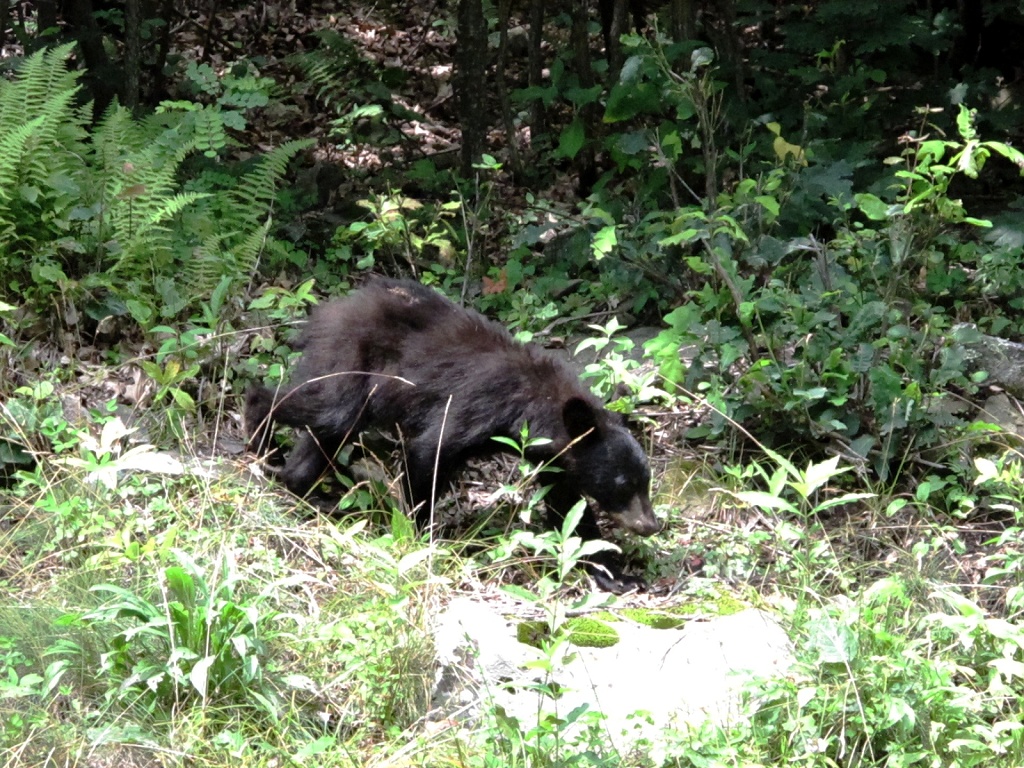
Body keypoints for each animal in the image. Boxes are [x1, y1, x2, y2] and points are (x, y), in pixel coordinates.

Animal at [244, 278, 660, 593]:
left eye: (645, 481)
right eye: (621, 484)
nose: (651, 525)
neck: (537, 403)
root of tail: (326, 311)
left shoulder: (557, 458)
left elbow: (568, 510)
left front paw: (614, 573)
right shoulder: (477, 406)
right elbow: (429, 453)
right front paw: (421, 538)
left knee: (325, 434)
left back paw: (305, 488)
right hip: (351, 362)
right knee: (324, 408)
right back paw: (260, 436)